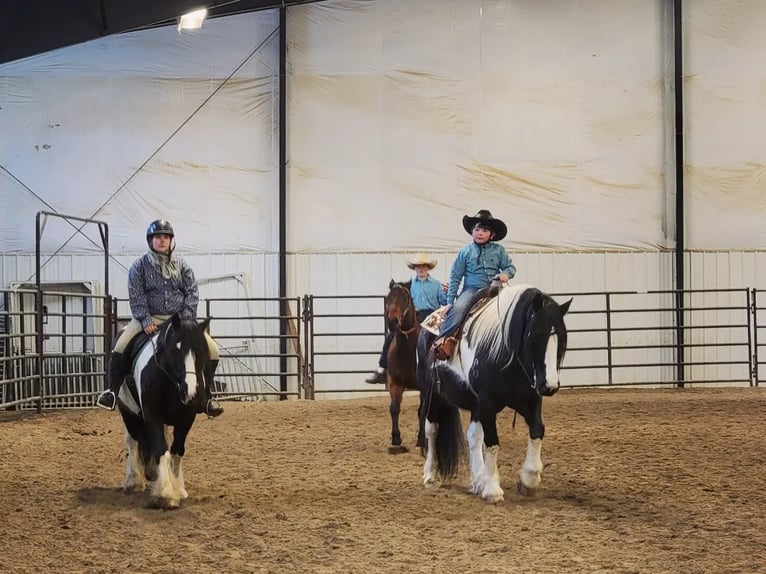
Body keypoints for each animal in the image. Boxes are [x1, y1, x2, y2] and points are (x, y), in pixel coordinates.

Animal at [115, 316, 210, 508]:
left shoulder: (187, 418)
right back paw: (132, 481)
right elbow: (160, 449)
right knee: (132, 442)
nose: (190, 392)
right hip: (127, 411)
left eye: (201, 350)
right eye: (176, 349)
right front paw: (166, 491)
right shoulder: (152, 416)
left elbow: (176, 451)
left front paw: (178, 489)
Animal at [416, 284, 572, 504]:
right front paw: (492, 489)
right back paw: (431, 476)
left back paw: (477, 481)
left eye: (561, 338)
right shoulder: (487, 403)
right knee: (431, 430)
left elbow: (537, 431)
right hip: (433, 396)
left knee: (473, 436)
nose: (549, 385)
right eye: (535, 335)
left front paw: (528, 480)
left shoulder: (531, 400)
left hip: (474, 405)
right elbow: (492, 442)